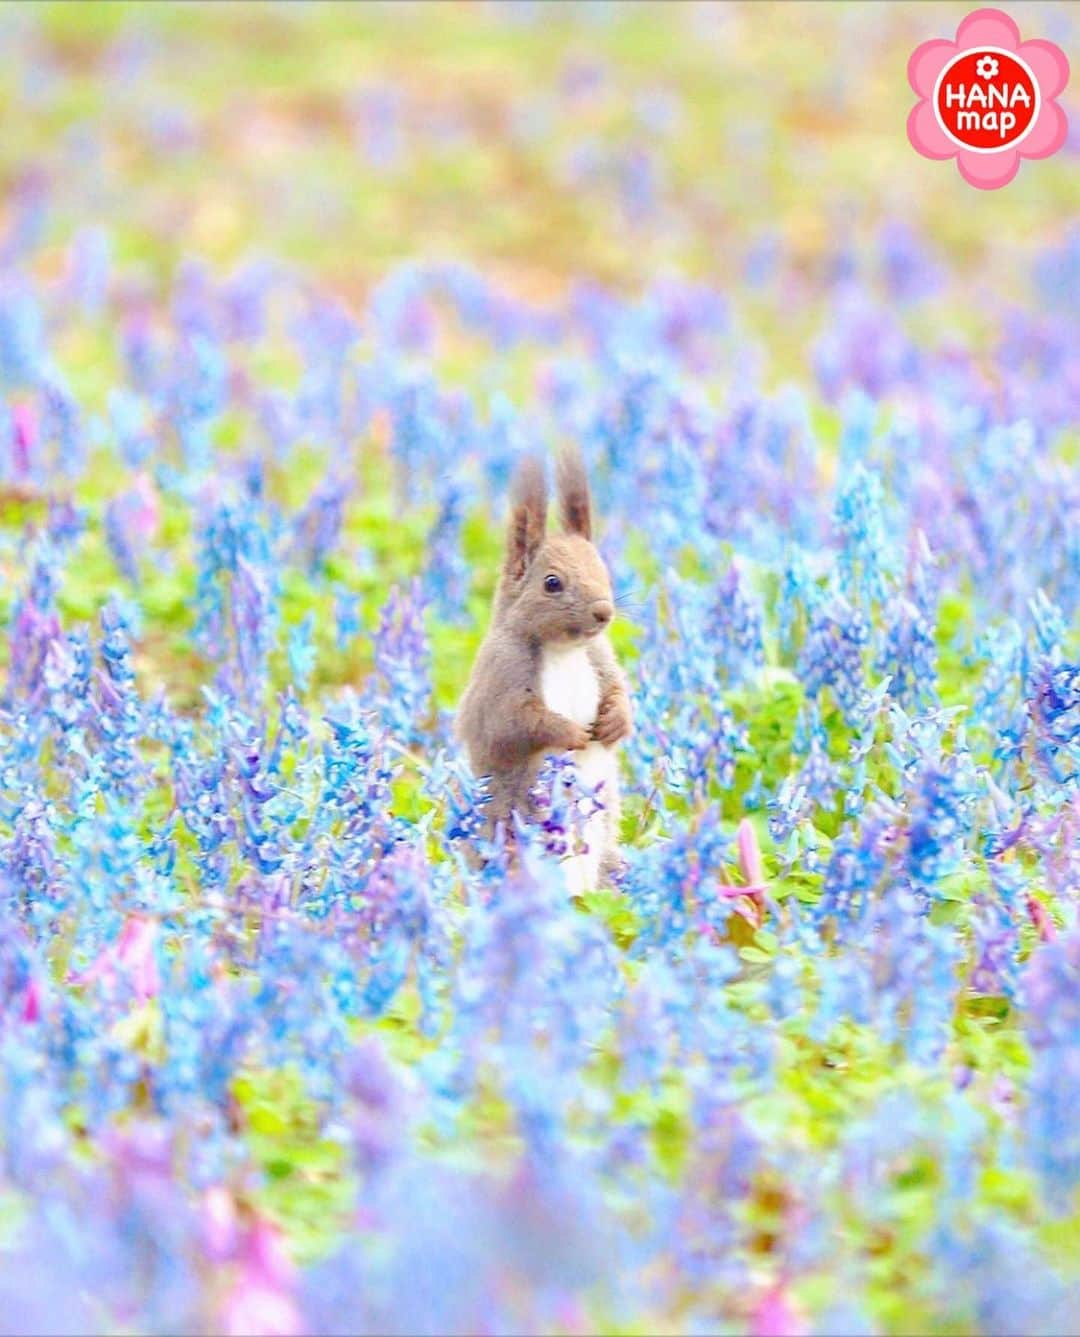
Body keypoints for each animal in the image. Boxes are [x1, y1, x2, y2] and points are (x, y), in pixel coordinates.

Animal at [454, 443, 633, 893]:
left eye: (603, 571)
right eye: (552, 583)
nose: (604, 612)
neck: (564, 649)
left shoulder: (600, 657)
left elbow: (619, 692)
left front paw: (615, 722)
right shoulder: (501, 675)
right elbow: (513, 725)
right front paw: (570, 733)